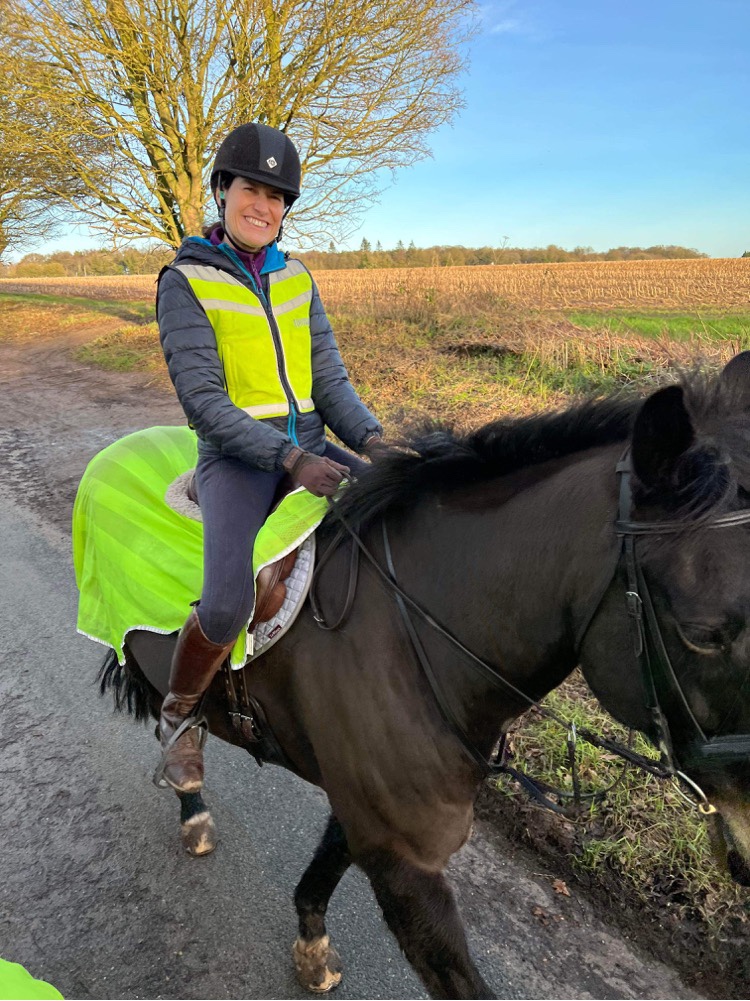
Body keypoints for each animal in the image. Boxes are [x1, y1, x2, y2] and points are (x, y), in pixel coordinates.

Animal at [96, 351, 750, 1000]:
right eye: (702, 632)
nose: (745, 850)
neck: (415, 635)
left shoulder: (369, 822)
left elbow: (321, 875)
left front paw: (312, 952)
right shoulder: (404, 859)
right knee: (174, 719)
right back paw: (189, 795)